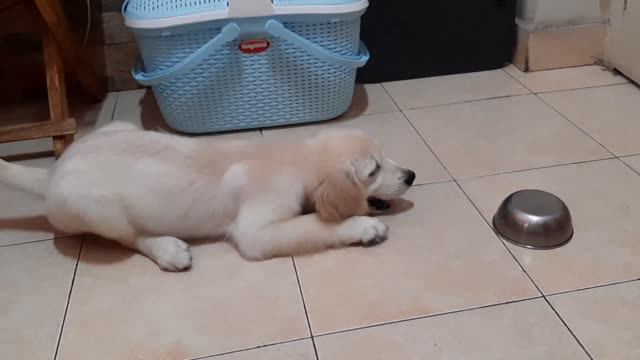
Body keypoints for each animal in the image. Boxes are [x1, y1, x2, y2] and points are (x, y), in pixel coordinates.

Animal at [0, 122, 416, 272]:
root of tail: (52, 171)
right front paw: (364, 227)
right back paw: (168, 250)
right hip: (94, 208)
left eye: (385, 158)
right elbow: (317, 225)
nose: (411, 175)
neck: (296, 158)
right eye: (373, 171)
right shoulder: (255, 232)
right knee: (129, 236)